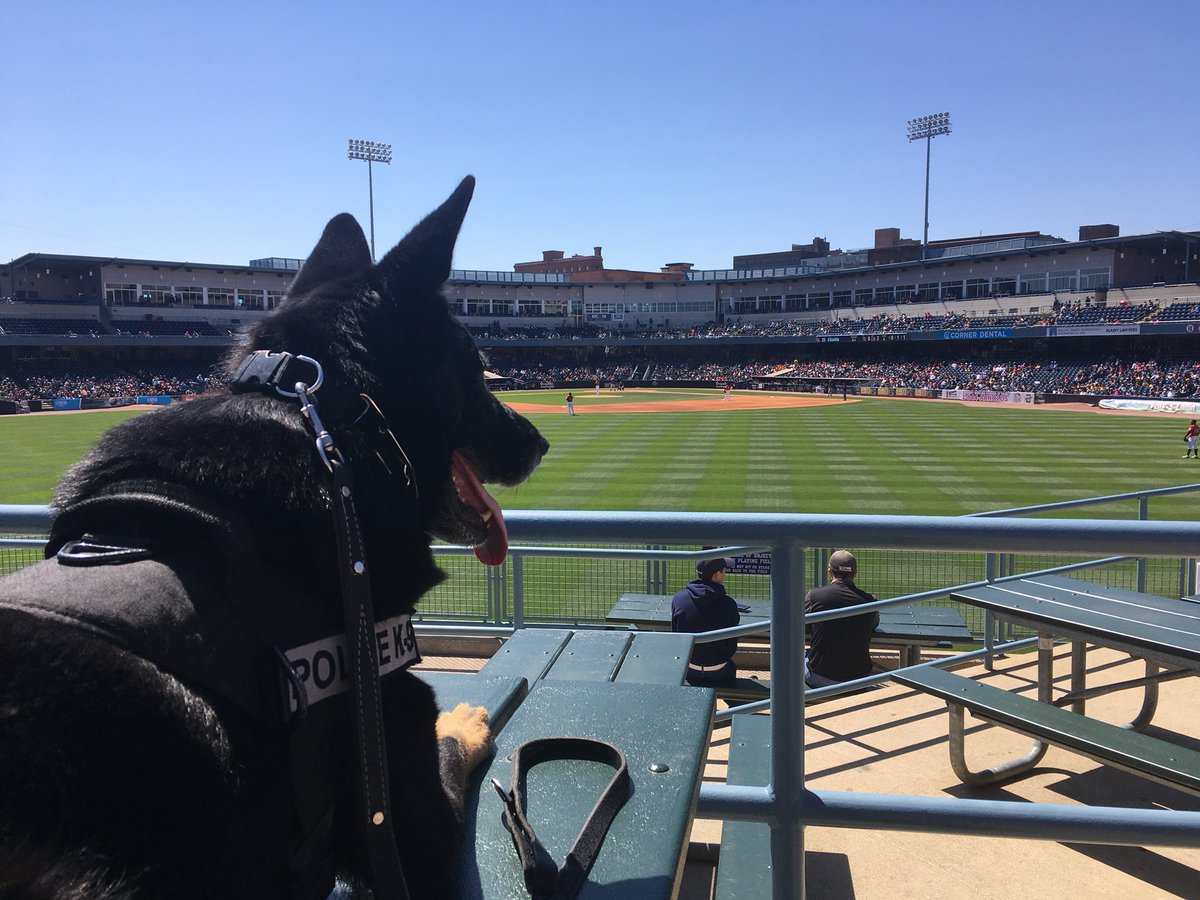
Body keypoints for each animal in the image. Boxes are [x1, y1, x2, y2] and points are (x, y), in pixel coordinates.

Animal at [0, 177, 549, 900]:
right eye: (478, 364)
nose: (540, 440)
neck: (327, 430)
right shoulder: (407, 815)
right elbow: (447, 747)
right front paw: (461, 722)